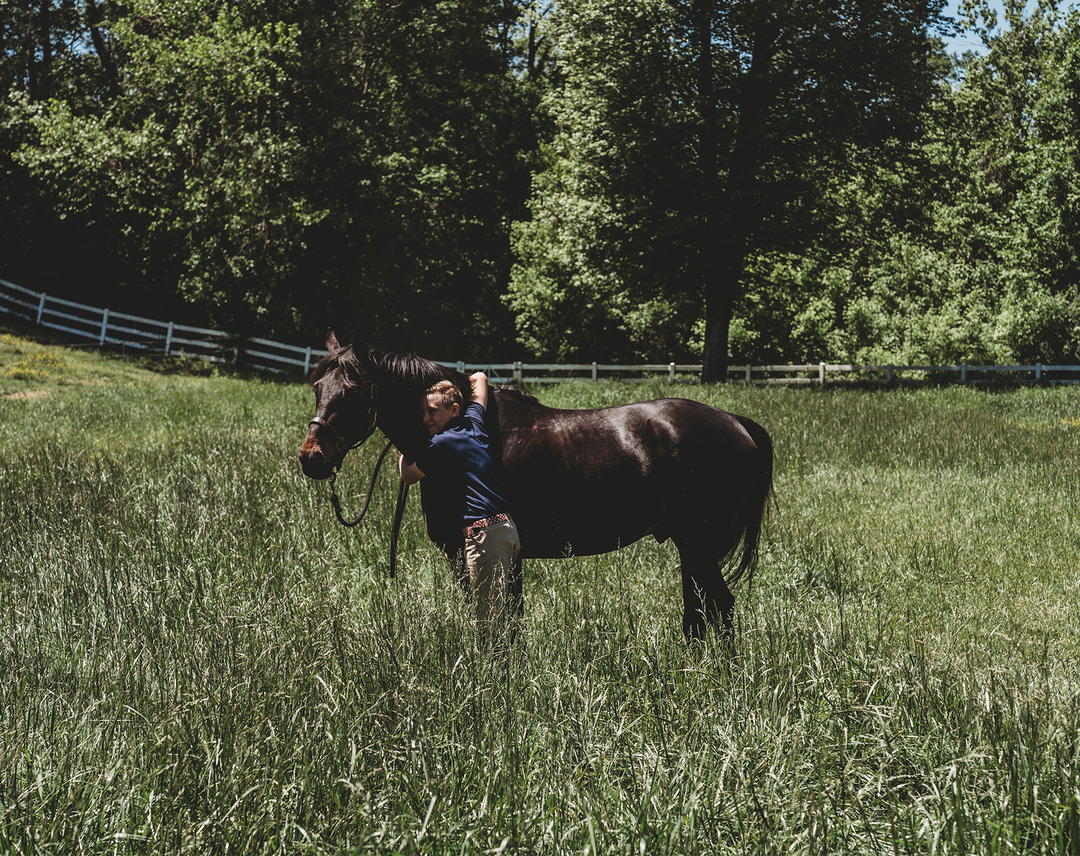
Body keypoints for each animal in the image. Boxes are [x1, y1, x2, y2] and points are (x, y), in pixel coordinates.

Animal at [298, 330, 773, 641]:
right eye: (317, 385)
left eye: (354, 390)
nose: (311, 457)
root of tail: (739, 424)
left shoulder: (469, 553)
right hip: (690, 547)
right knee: (699, 615)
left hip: (698, 546)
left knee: (721, 610)